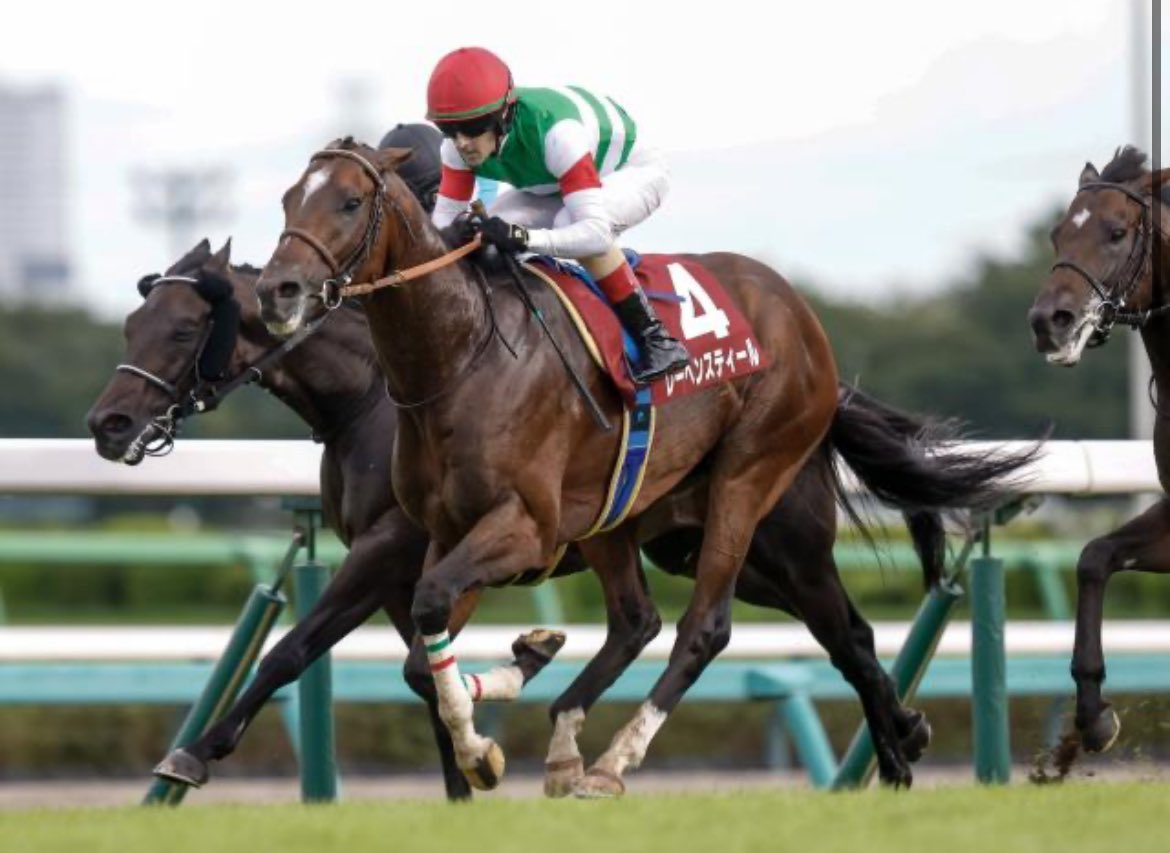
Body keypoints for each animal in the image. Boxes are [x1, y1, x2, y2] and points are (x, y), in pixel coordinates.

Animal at [254, 138, 1032, 796]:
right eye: (289, 198)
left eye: (350, 201)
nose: (278, 290)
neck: (461, 356)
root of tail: (800, 316)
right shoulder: (446, 532)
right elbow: (423, 654)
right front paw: (496, 718)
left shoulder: (521, 529)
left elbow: (425, 607)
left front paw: (485, 735)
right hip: (675, 531)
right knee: (807, 629)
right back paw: (897, 743)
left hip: (752, 481)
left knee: (707, 626)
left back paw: (615, 758)